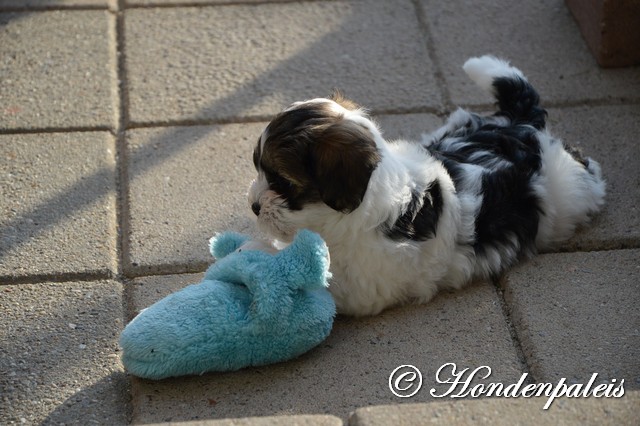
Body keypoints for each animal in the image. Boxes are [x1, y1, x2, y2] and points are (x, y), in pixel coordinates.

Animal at [246, 55, 604, 316]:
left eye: (282, 182)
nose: (253, 206)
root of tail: (521, 124)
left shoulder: (364, 284)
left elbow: (325, 284)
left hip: (569, 188)